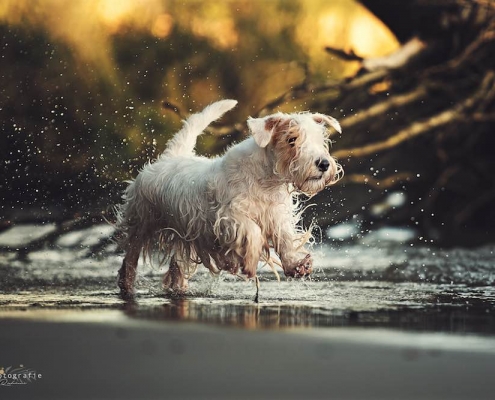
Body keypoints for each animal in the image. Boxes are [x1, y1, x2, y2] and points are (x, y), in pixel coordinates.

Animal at [117, 100, 340, 300]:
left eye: (320, 139)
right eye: (291, 139)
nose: (323, 164)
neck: (266, 179)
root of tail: (168, 158)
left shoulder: (276, 215)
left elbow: (284, 238)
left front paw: (297, 265)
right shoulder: (228, 216)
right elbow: (254, 232)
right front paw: (249, 263)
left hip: (184, 235)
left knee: (177, 266)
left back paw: (178, 288)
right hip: (141, 222)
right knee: (130, 257)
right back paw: (127, 286)